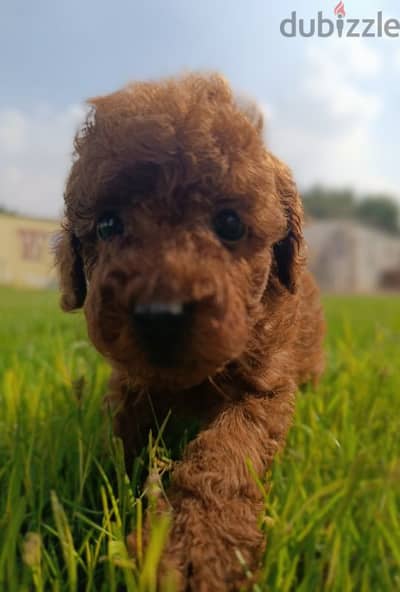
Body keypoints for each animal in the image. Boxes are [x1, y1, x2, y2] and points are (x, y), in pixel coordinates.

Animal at [55, 71, 324, 588]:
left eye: (230, 224)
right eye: (108, 225)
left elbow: (227, 453)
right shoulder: (131, 383)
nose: (161, 313)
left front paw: (199, 548)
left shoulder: (263, 385)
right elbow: (121, 438)